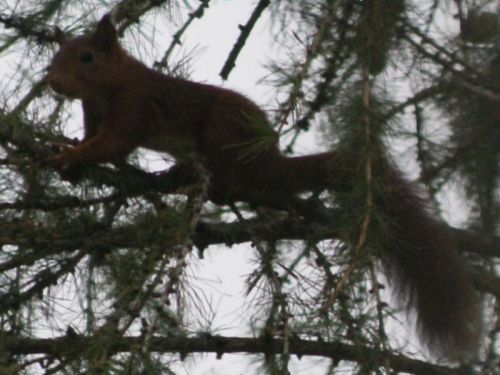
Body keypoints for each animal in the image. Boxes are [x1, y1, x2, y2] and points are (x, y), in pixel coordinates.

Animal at [47, 14, 480, 362]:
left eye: (87, 57)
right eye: (54, 57)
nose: (53, 83)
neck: (109, 85)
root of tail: (269, 158)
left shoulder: (135, 105)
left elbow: (113, 144)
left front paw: (73, 155)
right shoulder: (93, 112)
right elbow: (96, 139)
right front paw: (72, 153)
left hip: (221, 131)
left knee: (227, 175)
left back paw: (207, 182)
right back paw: (181, 172)